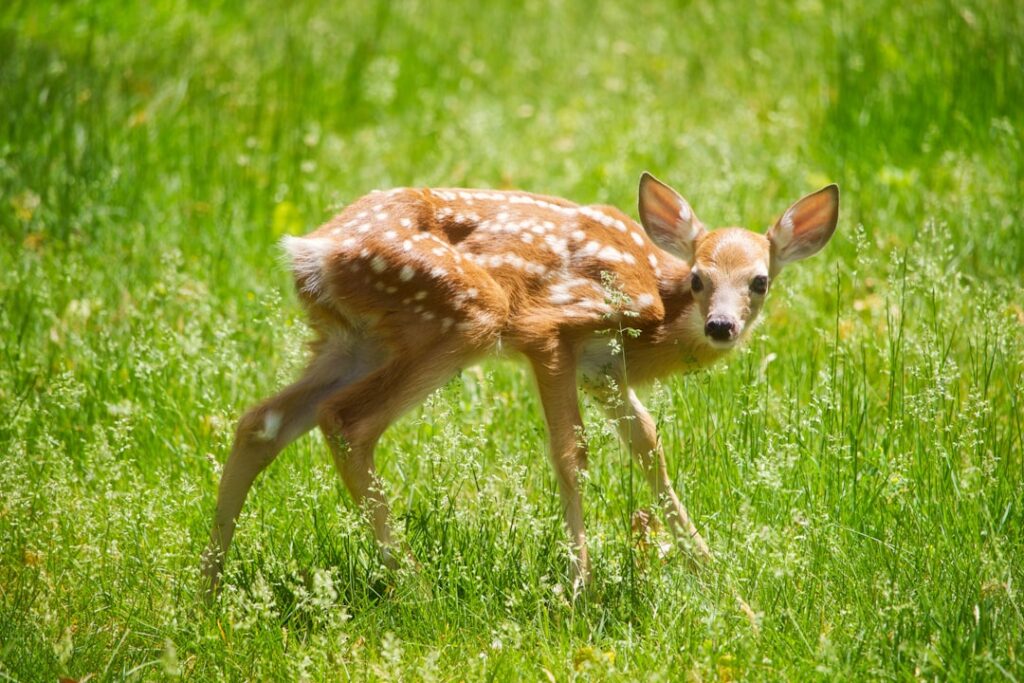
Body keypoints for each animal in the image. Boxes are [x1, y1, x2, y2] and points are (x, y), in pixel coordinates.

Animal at [200, 173, 839, 593]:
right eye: (700, 277)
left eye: (760, 281)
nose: (721, 326)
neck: (655, 306)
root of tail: (311, 251)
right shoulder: (551, 330)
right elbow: (571, 451)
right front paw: (580, 587)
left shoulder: (603, 368)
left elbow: (648, 446)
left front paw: (716, 577)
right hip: (462, 314)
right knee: (346, 421)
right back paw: (415, 587)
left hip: (357, 339)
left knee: (263, 421)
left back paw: (208, 587)